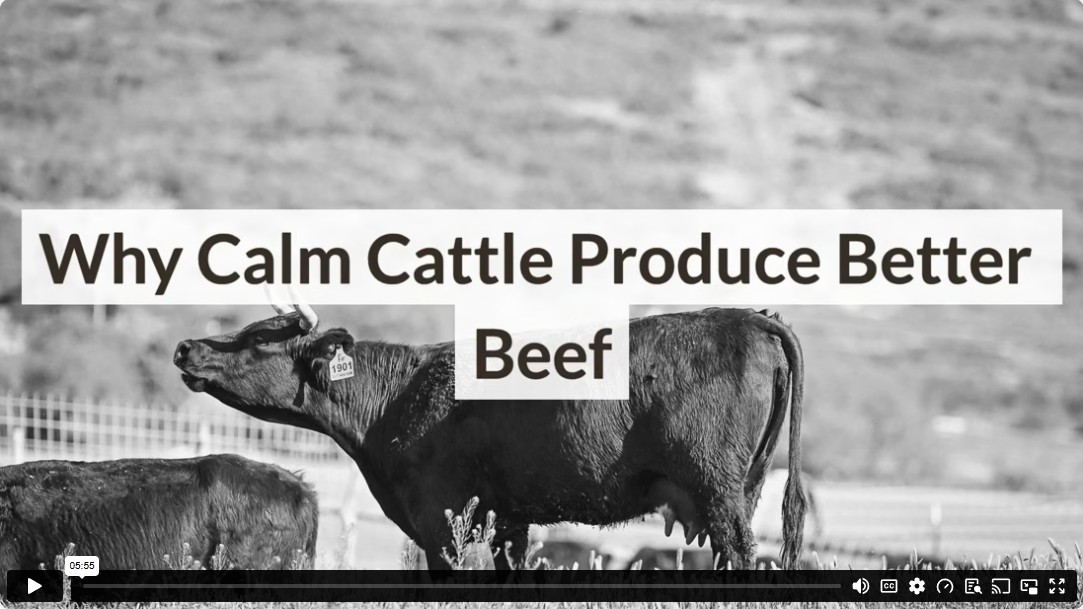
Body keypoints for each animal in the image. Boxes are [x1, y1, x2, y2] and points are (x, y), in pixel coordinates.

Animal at [174, 305, 805, 570]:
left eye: (260, 338)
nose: (186, 347)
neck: (402, 395)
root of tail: (748, 316)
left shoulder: (439, 519)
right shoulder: (510, 521)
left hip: (719, 491)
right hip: (739, 490)